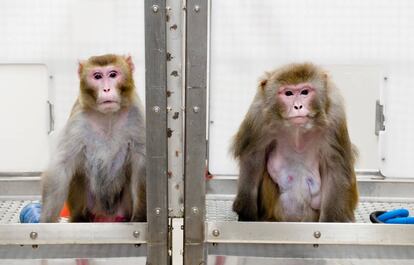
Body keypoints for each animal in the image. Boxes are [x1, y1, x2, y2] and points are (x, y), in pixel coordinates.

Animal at [40, 54, 146, 222]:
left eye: (113, 74)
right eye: (97, 76)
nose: (106, 89)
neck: (108, 116)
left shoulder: (136, 115)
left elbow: (140, 166)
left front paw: (140, 217)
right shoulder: (78, 117)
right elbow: (61, 166)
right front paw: (46, 221)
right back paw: (80, 218)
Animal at [233, 62, 360, 221]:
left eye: (305, 92)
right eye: (288, 93)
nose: (298, 106)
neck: (297, 130)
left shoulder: (335, 118)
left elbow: (335, 168)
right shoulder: (258, 117)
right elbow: (252, 159)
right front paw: (247, 215)